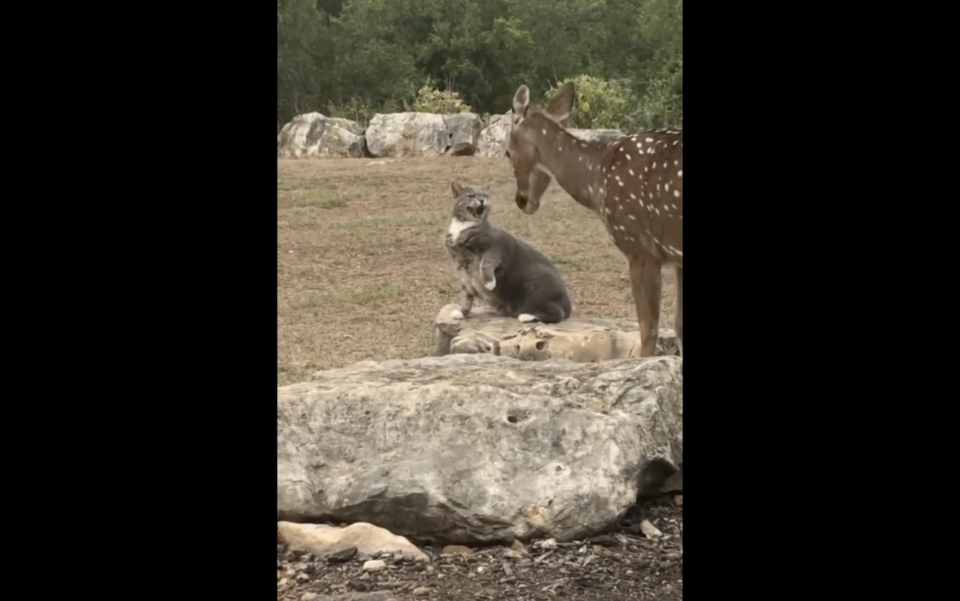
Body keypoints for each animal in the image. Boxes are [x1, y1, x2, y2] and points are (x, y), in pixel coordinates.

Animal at [446, 183, 572, 324]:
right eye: (471, 195)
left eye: (484, 195)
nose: (482, 200)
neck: (463, 227)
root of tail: (568, 305)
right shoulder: (463, 274)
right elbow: (466, 296)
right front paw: (462, 312)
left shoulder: (496, 246)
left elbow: (486, 263)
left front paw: (489, 283)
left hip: (537, 288)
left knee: (557, 313)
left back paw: (526, 316)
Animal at [506, 83, 680, 356]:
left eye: (507, 153)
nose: (521, 200)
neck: (598, 177)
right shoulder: (675, 256)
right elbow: (678, 325)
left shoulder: (640, 248)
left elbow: (648, 328)